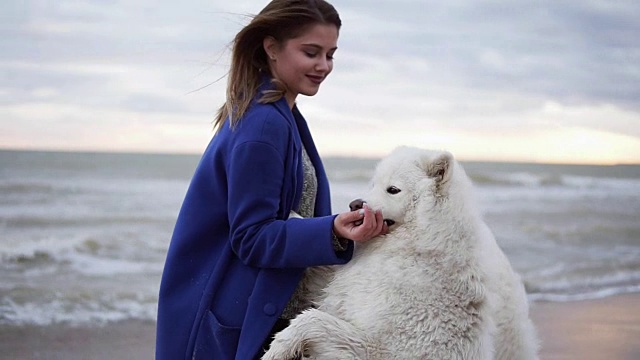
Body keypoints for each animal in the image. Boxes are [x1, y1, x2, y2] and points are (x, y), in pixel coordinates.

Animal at [262, 147, 536, 360]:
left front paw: (276, 350)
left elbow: (311, 320)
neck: (418, 245)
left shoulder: (390, 347)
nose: (354, 204)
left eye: (393, 189)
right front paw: (291, 216)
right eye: (374, 184)